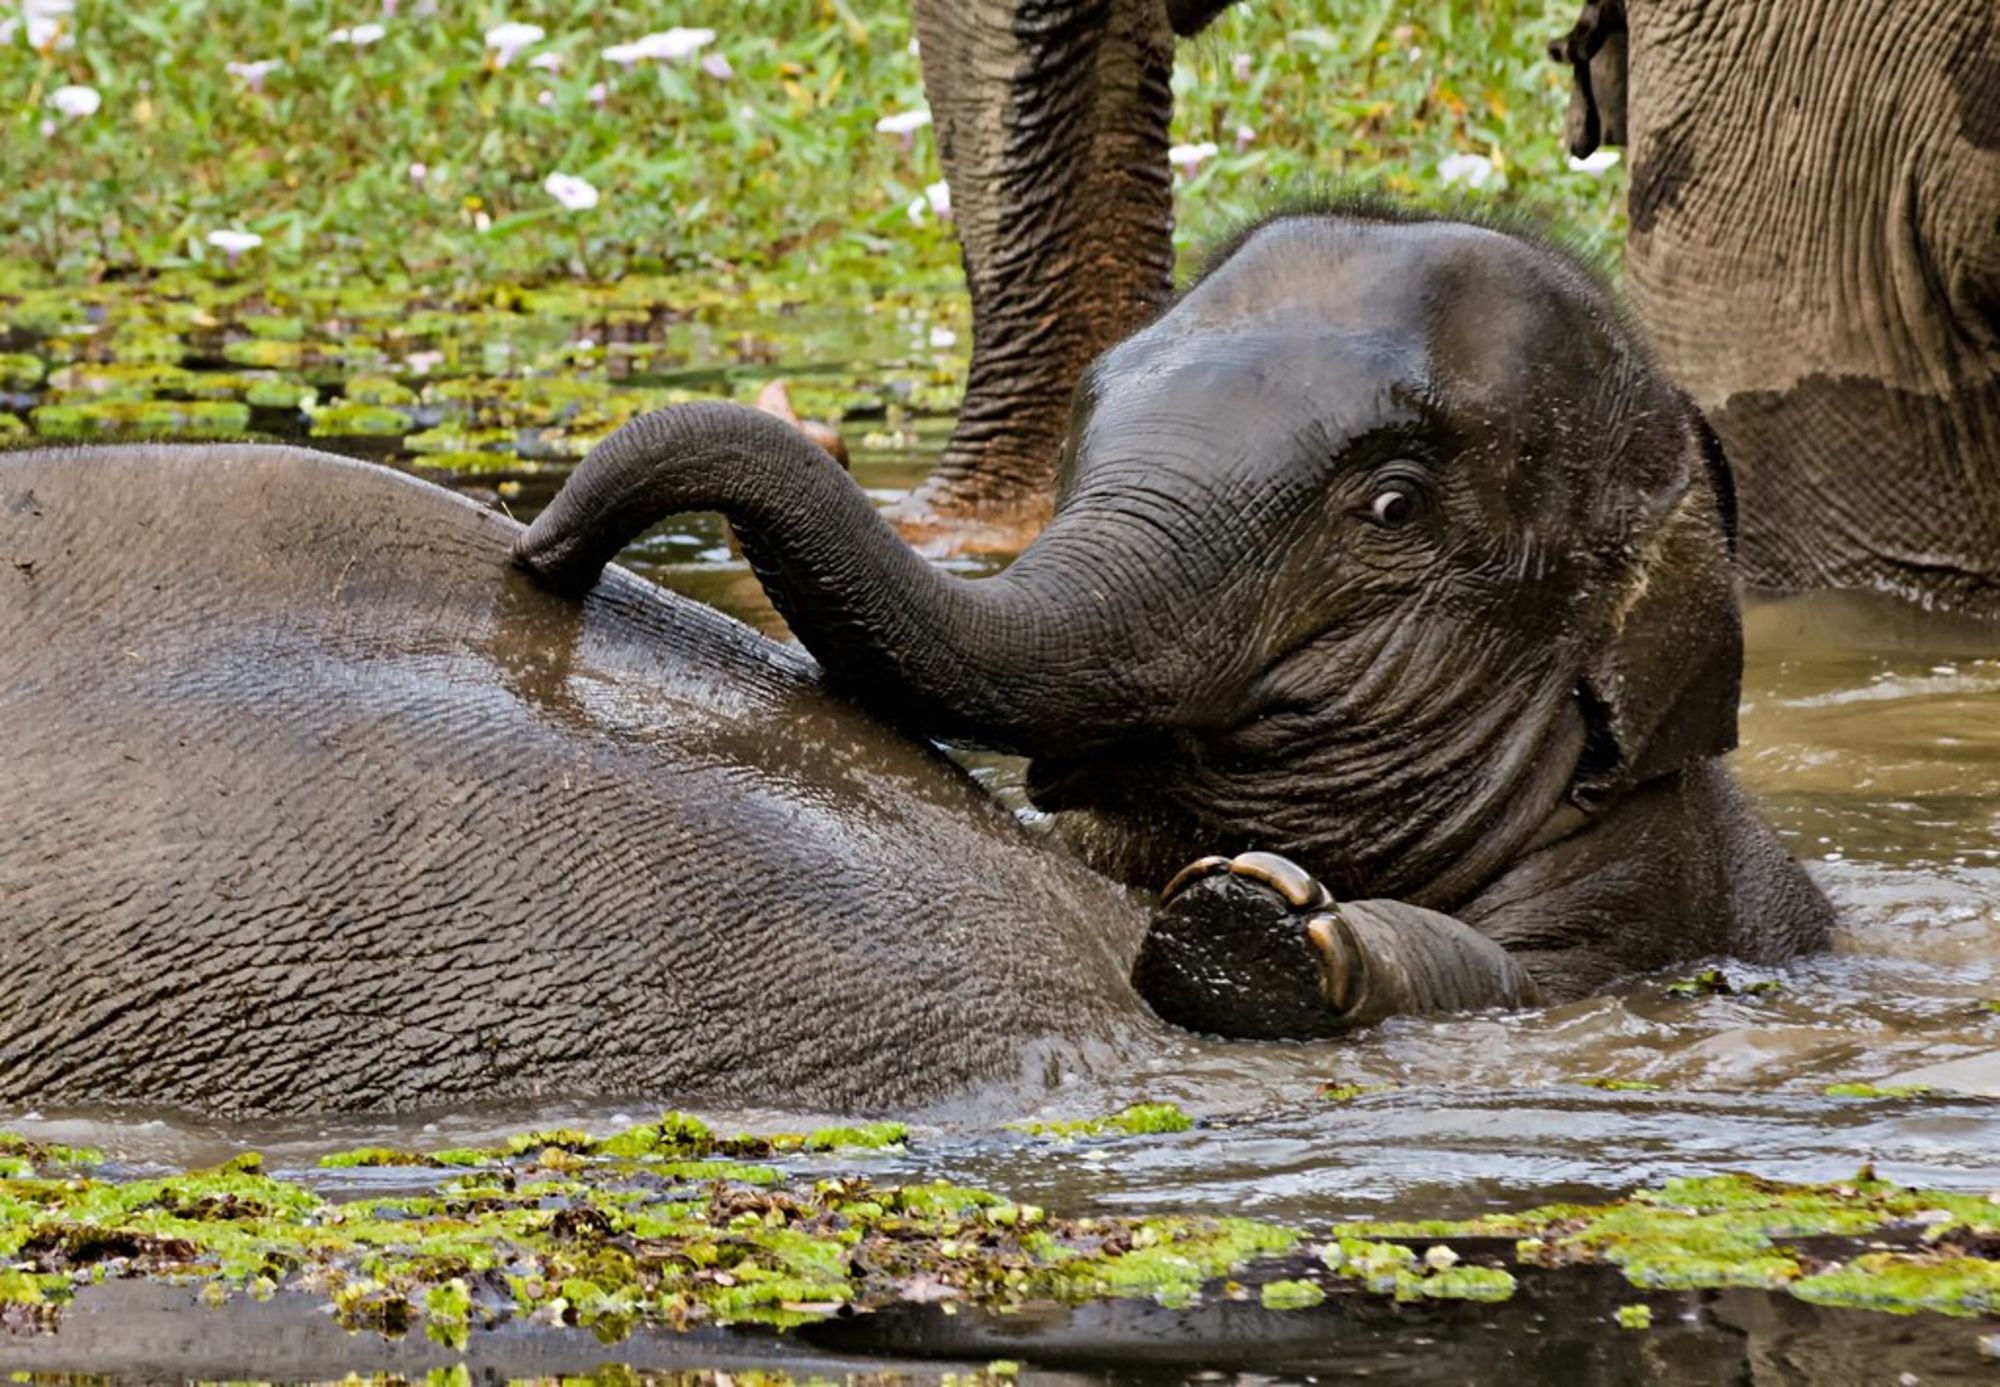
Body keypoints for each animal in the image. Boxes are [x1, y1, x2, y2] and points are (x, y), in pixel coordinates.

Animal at [518, 203, 1836, 1041]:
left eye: (1392, 505)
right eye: (1076, 437)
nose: (545, 551)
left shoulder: (1649, 884)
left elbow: (1514, 977)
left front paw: (1252, 919)